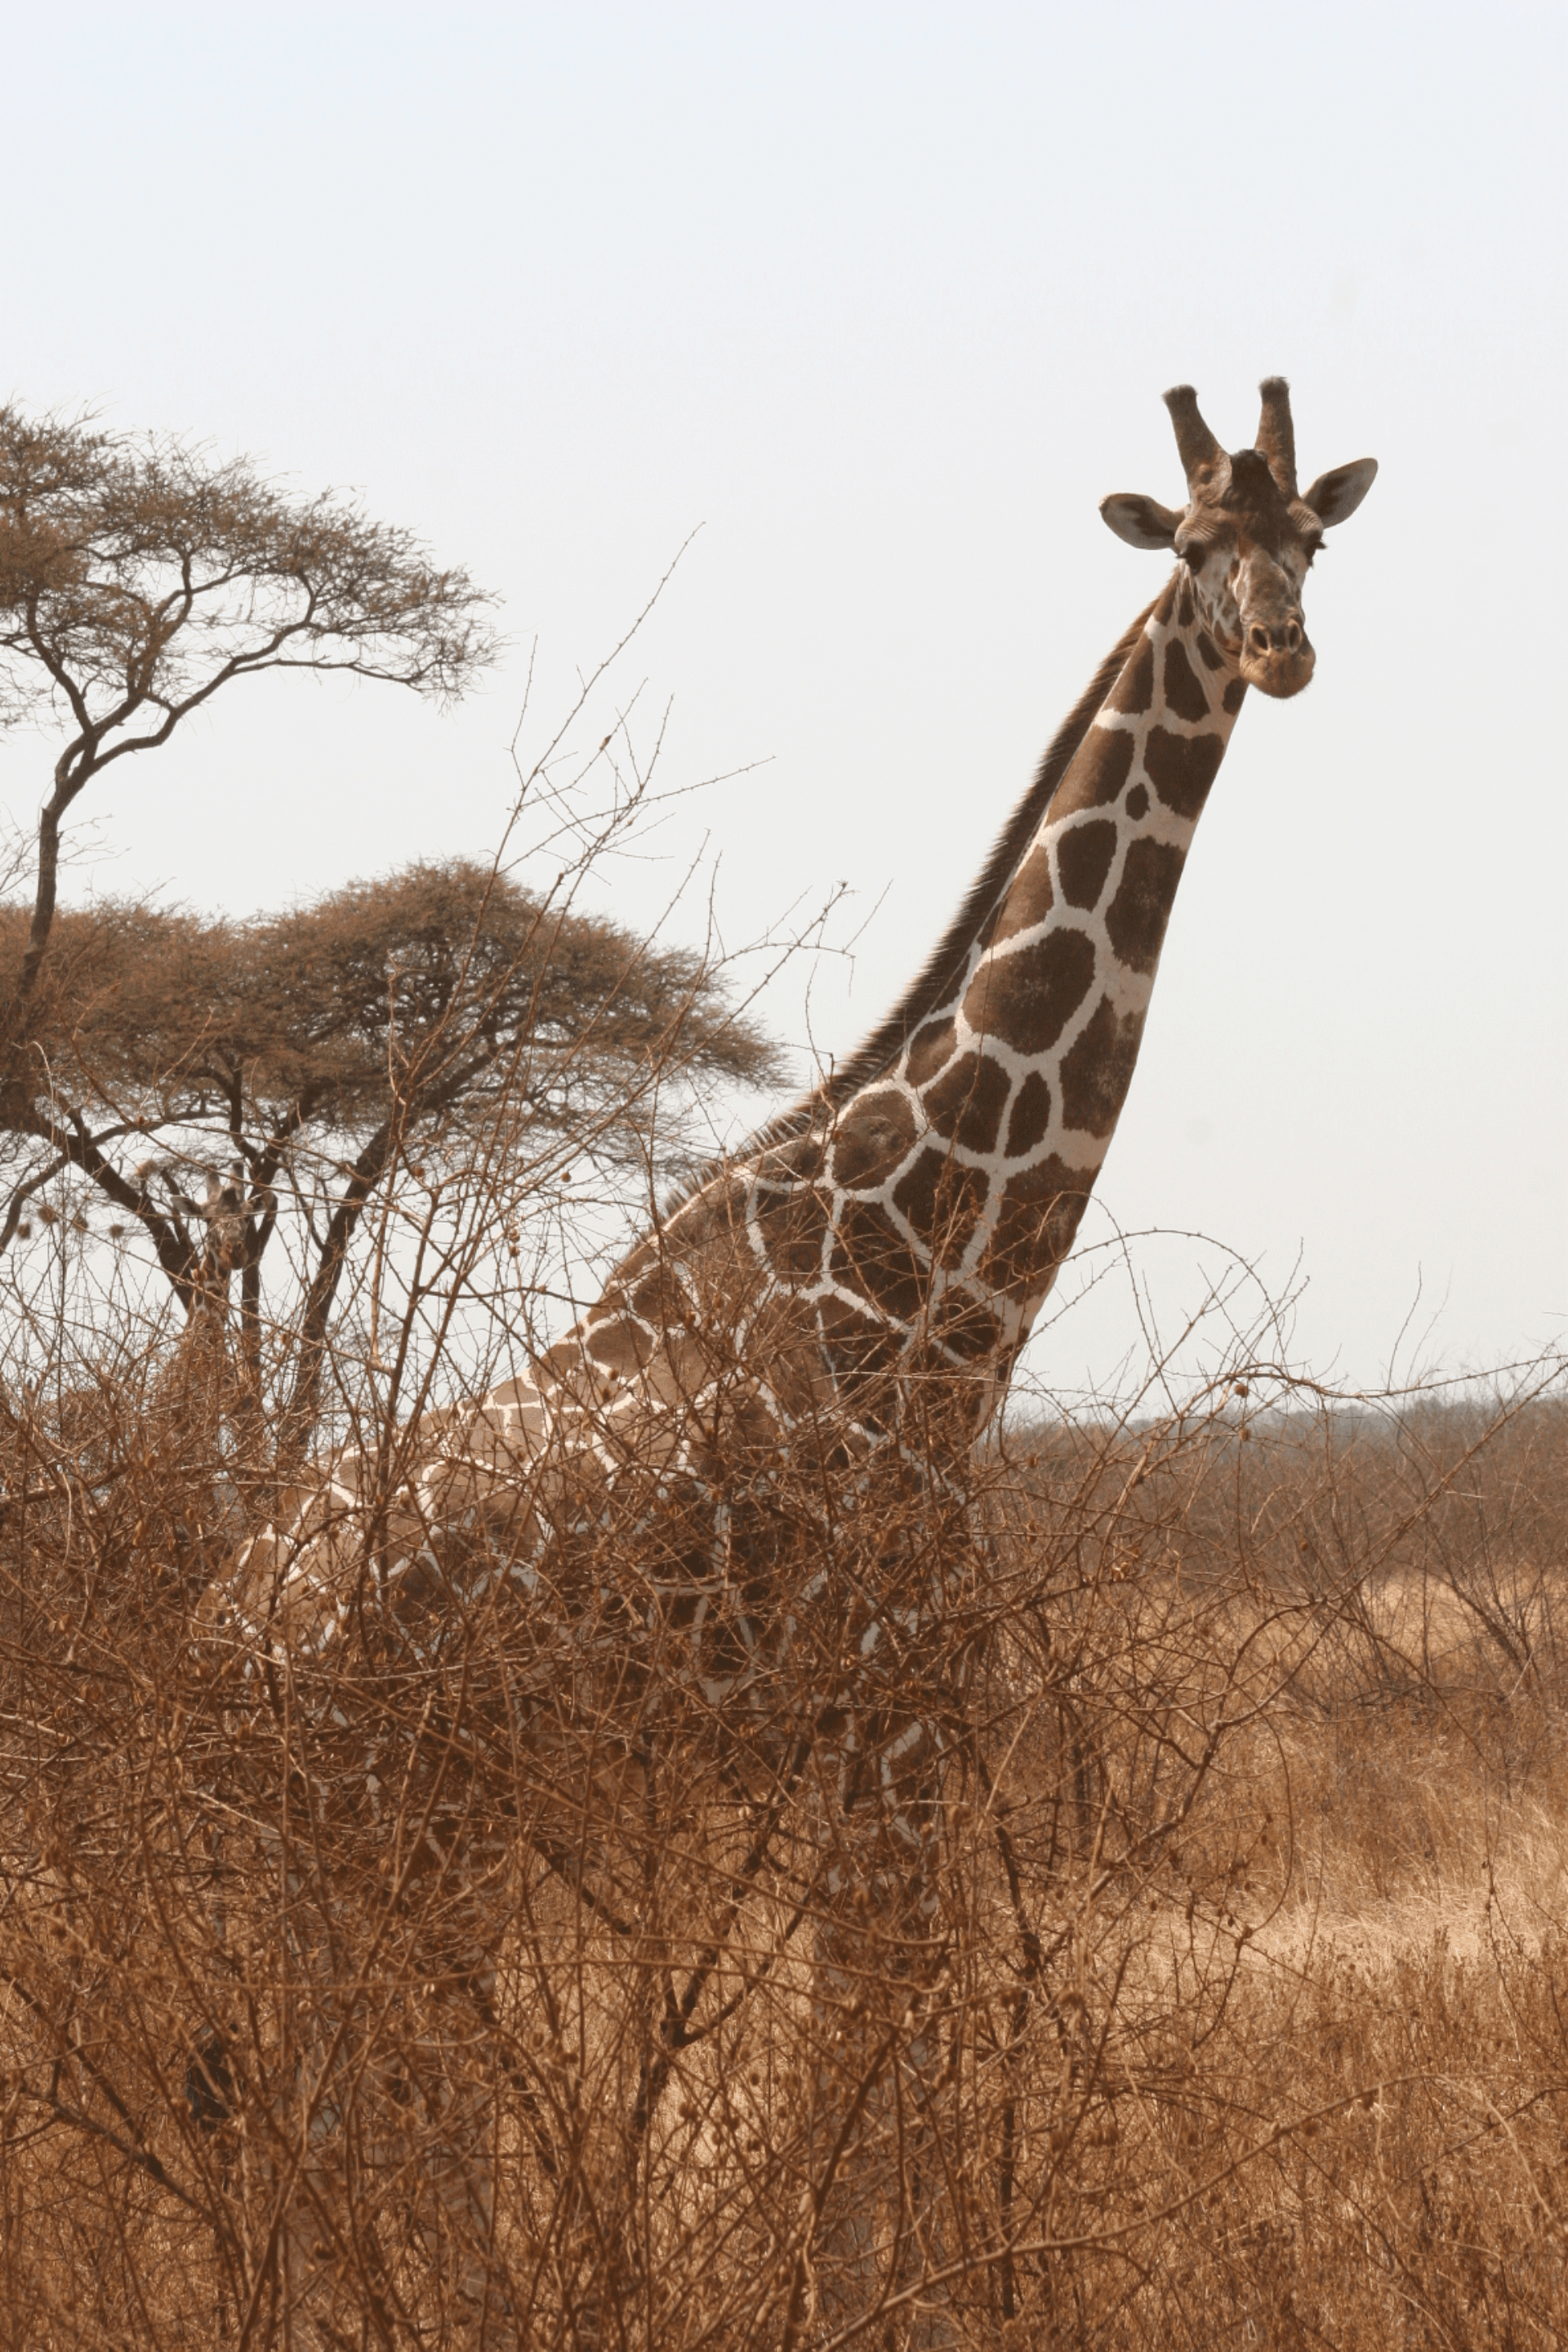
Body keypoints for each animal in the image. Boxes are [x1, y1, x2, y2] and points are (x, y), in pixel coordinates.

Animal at [203, 377, 1377, 2339]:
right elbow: (868, 2043)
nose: (1281, 649)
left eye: (1314, 540)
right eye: (1203, 545)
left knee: (330, 2086)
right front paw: (879, 2298)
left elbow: (866, 2029)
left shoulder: (881, 1733)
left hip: (366, 1834)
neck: (939, 1312)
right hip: (390, 1819)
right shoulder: (894, 1720)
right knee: (366, 2085)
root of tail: (228, 1619)